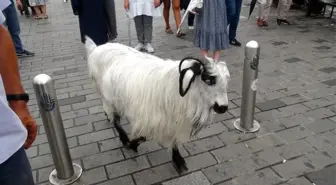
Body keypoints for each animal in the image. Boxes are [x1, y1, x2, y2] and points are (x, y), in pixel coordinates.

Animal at [84, 36, 231, 173]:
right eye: (209, 79)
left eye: (226, 80)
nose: (223, 107)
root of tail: (96, 48)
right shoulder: (148, 117)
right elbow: (142, 137)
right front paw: (132, 145)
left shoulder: (171, 120)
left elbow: (173, 140)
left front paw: (178, 160)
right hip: (107, 96)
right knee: (115, 120)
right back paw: (124, 139)